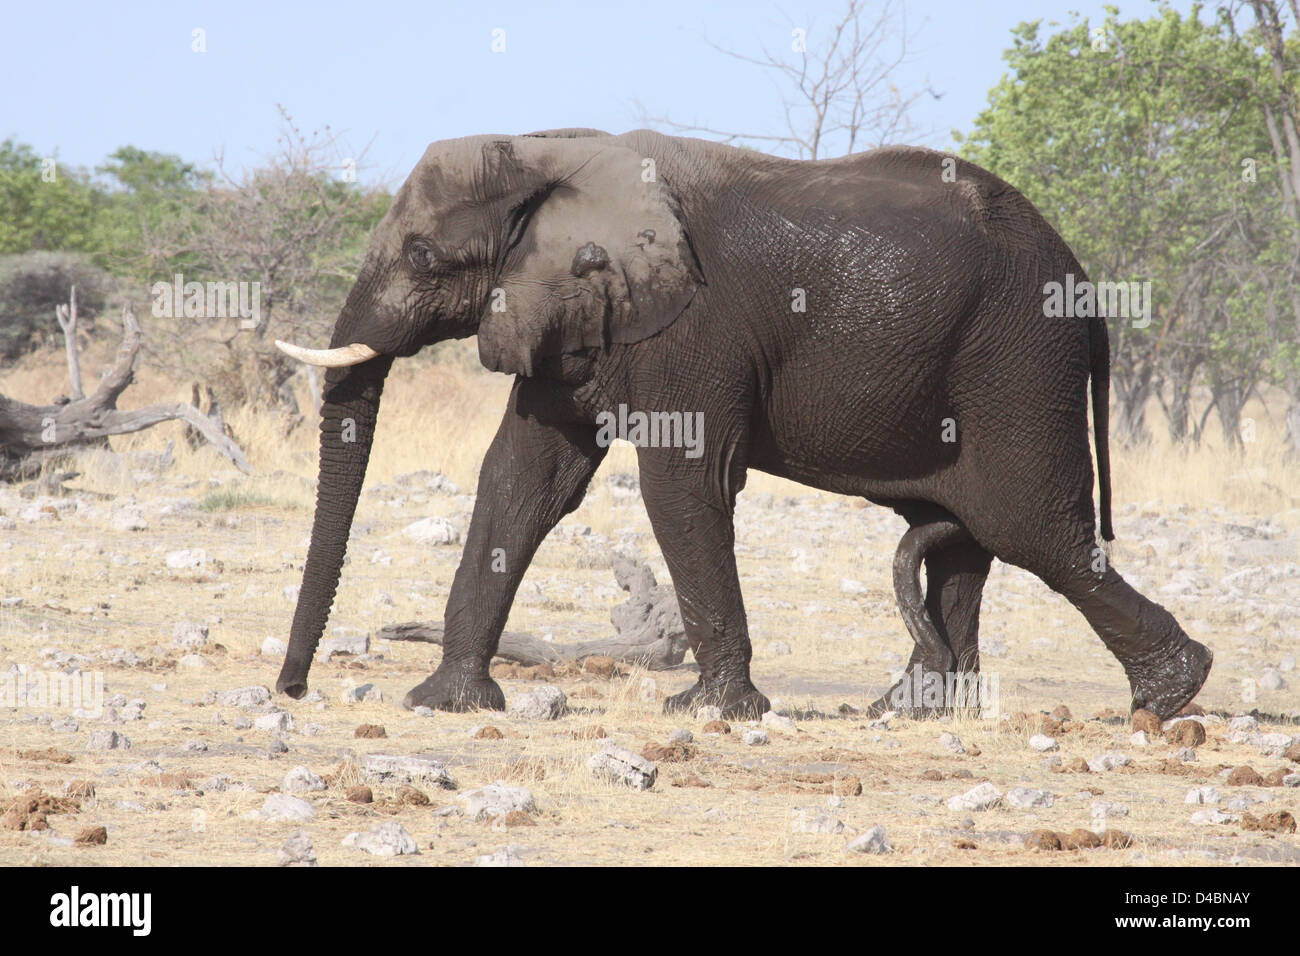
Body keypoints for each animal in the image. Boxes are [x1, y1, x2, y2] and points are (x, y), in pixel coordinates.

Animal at [269, 125, 1211, 717]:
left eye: (424, 256)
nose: (293, 690)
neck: (550, 148)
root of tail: (1085, 282)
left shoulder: (692, 328)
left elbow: (680, 483)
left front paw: (705, 709)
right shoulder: (569, 317)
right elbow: (522, 479)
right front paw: (445, 703)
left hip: (1018, 360)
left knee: (1031, 527)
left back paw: (1171, 694)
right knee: (962, 537)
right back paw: (905, 711)